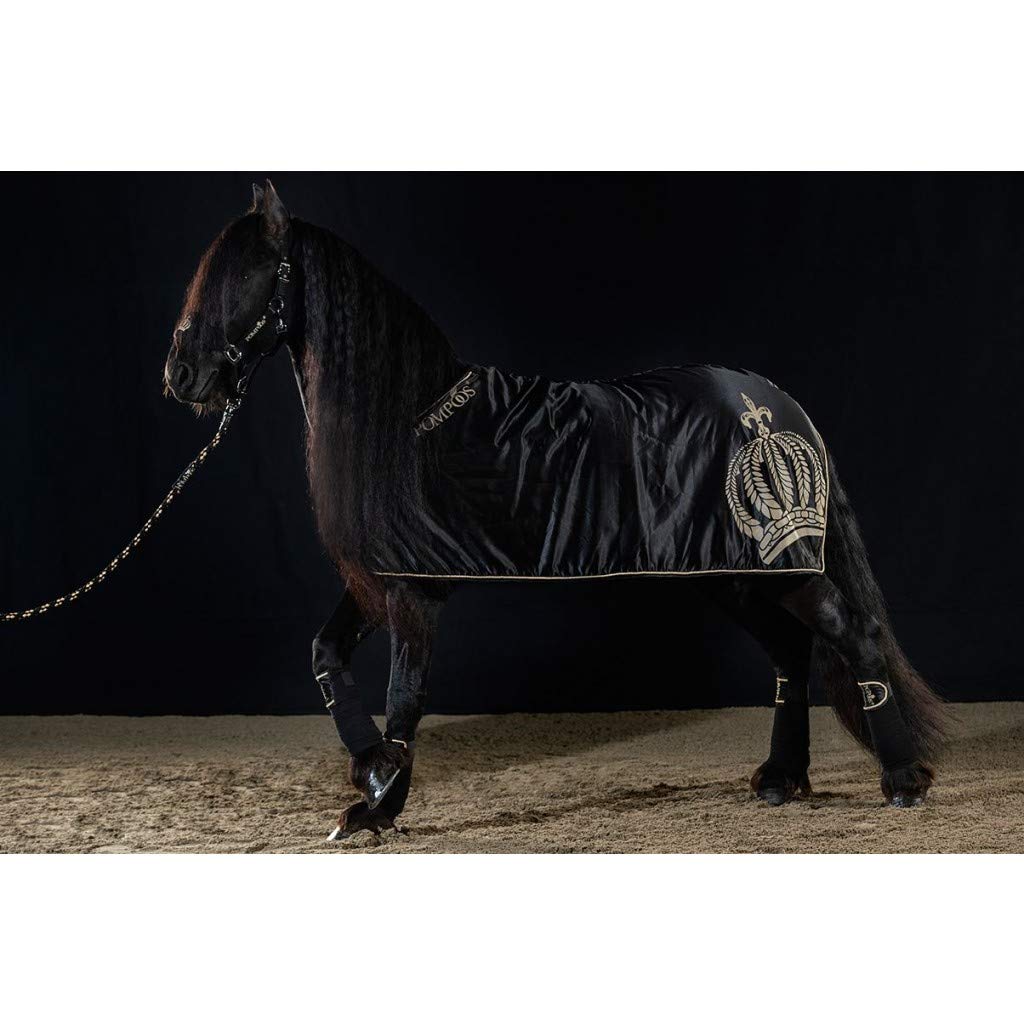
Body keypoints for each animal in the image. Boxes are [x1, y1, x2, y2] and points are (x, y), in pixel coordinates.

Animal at [164, 181, 946, 841]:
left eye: (251, 275)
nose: (182, 374)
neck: (410, 419)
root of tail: (777, 406)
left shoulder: (414, 594)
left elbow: (407, 695)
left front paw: (382, 805)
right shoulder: (378, 579)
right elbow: (325, 655)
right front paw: (370, 775)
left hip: (783, 569)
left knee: (855, 633)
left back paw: (904, 781)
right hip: (735, 574)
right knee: (791, 653)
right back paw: (783, 779)